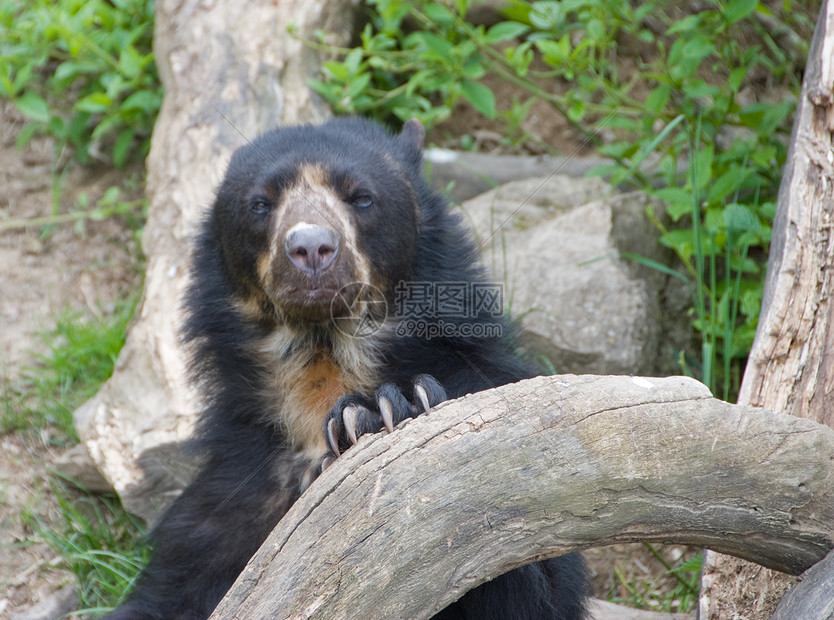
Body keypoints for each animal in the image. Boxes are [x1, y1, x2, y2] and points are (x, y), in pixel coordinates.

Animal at [107, 117, 588, 620]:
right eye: (260, 204)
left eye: (361, 198)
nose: (311, 247)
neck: (325, 357)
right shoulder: (232, 497)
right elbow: (176, 587)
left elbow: (525, 578)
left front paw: (384, 408)